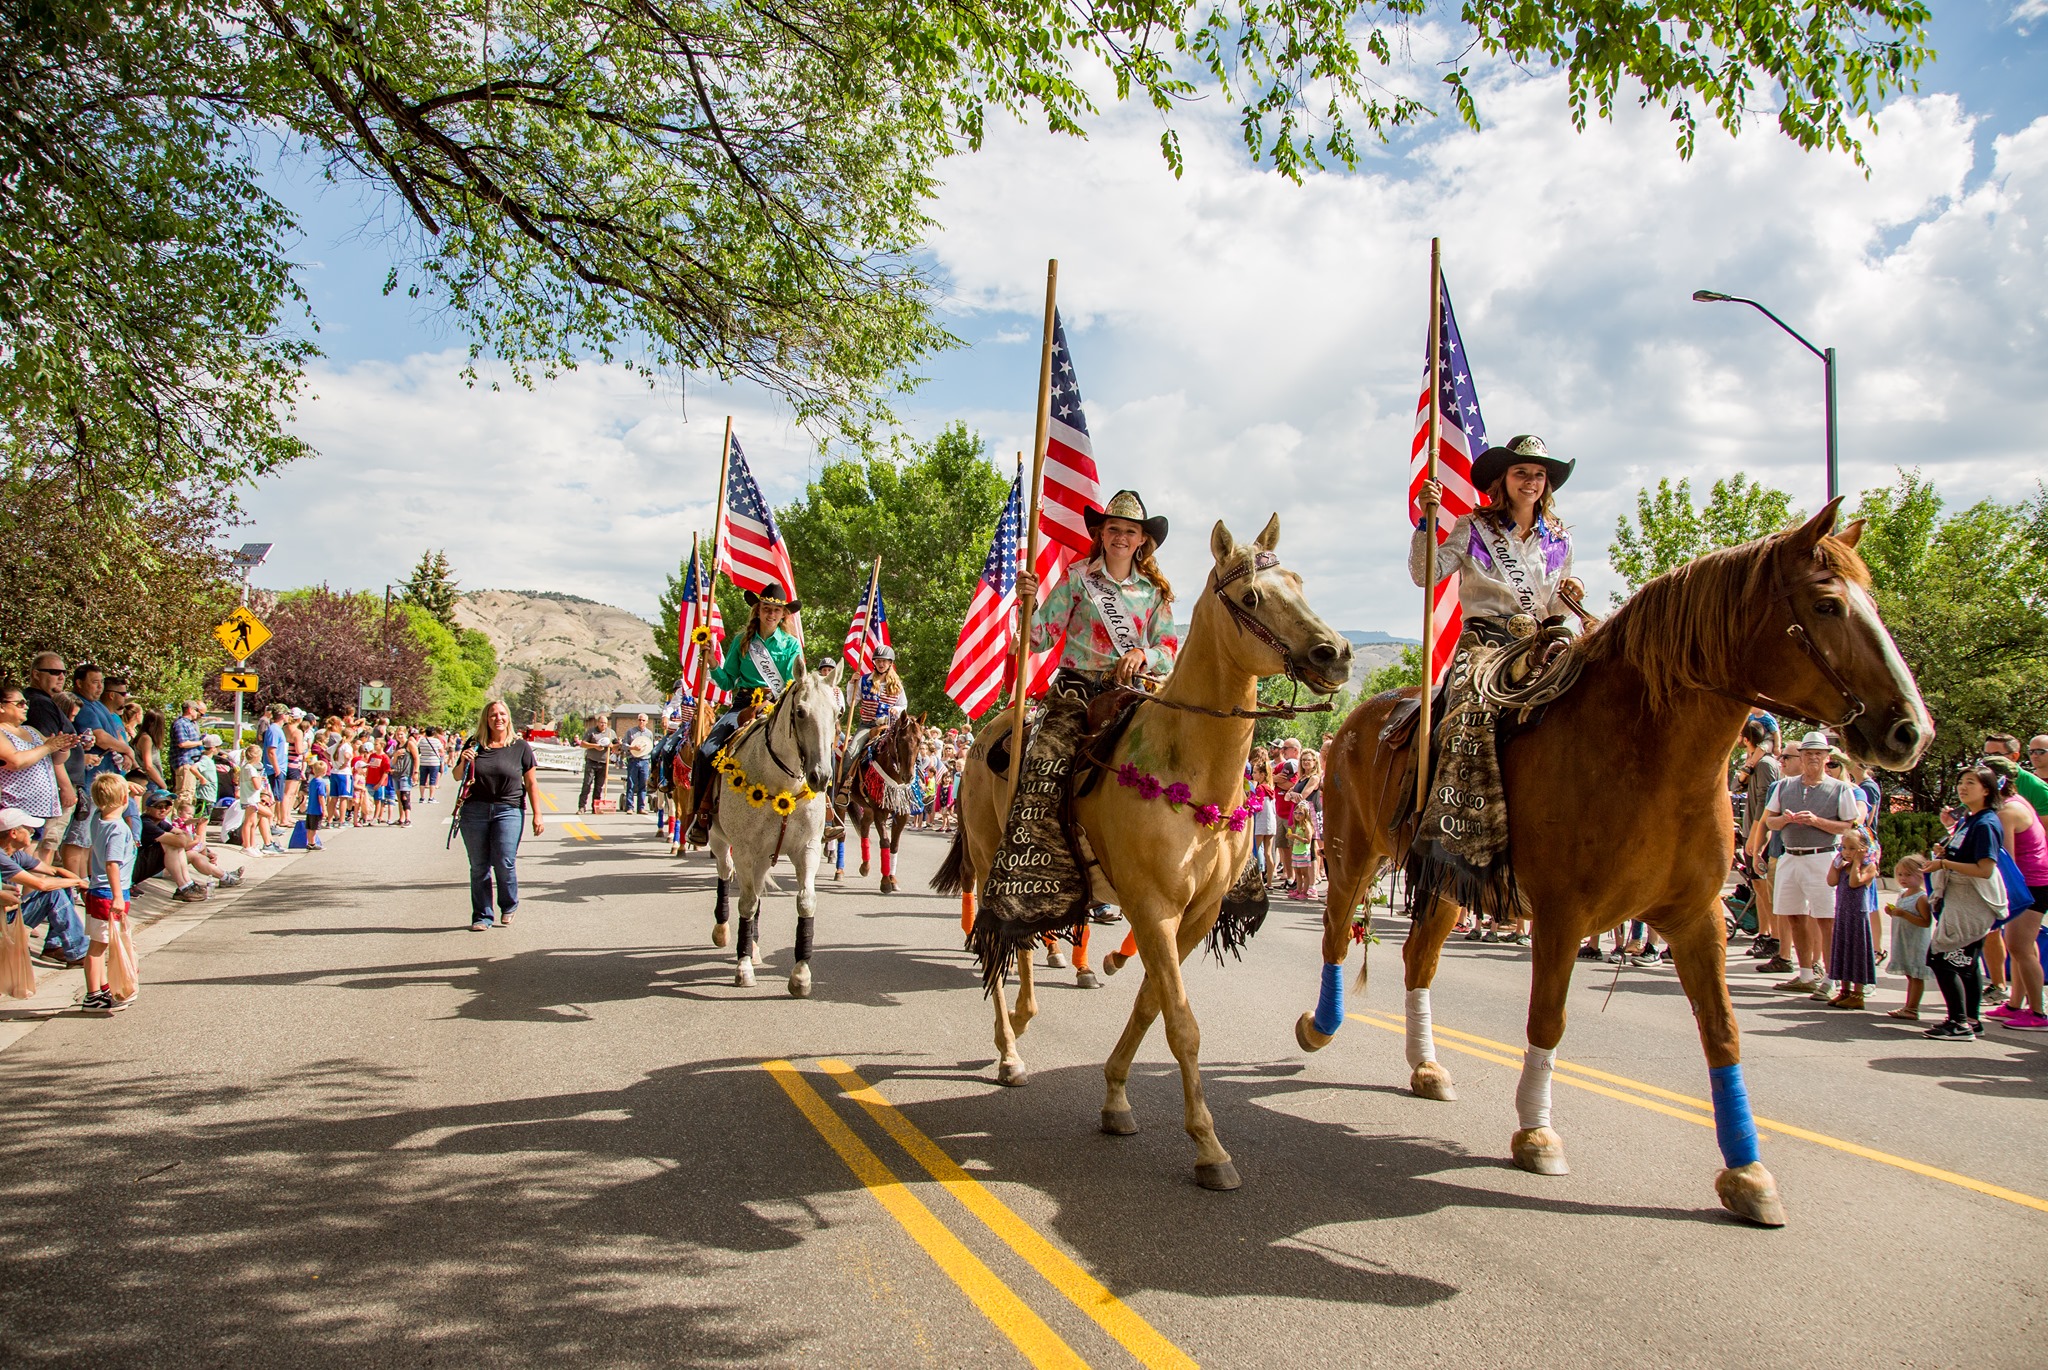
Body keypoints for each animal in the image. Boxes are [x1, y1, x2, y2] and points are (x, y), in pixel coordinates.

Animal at [704, 671, 831, 995]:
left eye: (837, 714)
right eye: (800, 712)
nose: (821, 776)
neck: (783, 786)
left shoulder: (807, 848)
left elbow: (805, 901)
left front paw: (801, 975)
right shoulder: (746, 850)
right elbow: (746, 903)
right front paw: (743, 967)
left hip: (762, 857)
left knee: (758, 890)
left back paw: (755, 947)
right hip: (720, 841)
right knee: (726, 874)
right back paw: (723, 931)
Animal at [933, 511, 1351, 1187]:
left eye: (1300, 582)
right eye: (1252, 597)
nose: (1334, 654)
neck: (1194, 768)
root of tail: (988, 732)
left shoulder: (1196, 913)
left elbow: (1153, 1001)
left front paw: (1115, 1098)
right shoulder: (1153, 908)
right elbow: (1182, 1023)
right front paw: (1209, 1147)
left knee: (1027, 943)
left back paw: (1023, 1021)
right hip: (997, 851)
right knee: (1002, 939)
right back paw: (1010, 1049)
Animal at [1302, 505, 1925, 1228]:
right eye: (1828, 604)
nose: (1911, 730)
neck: (1644, 750)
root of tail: (1354, 725)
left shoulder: (1697, 918)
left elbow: (1723, 1033)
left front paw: (1748, 1172)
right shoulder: (1563, 916)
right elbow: (1548, 1019)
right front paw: (1536, 1133)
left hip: (1447, 883)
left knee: (1417, 961)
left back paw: (1426, 1067)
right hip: (1352, 854)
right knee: (1335, 935)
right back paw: (1319, 1026)